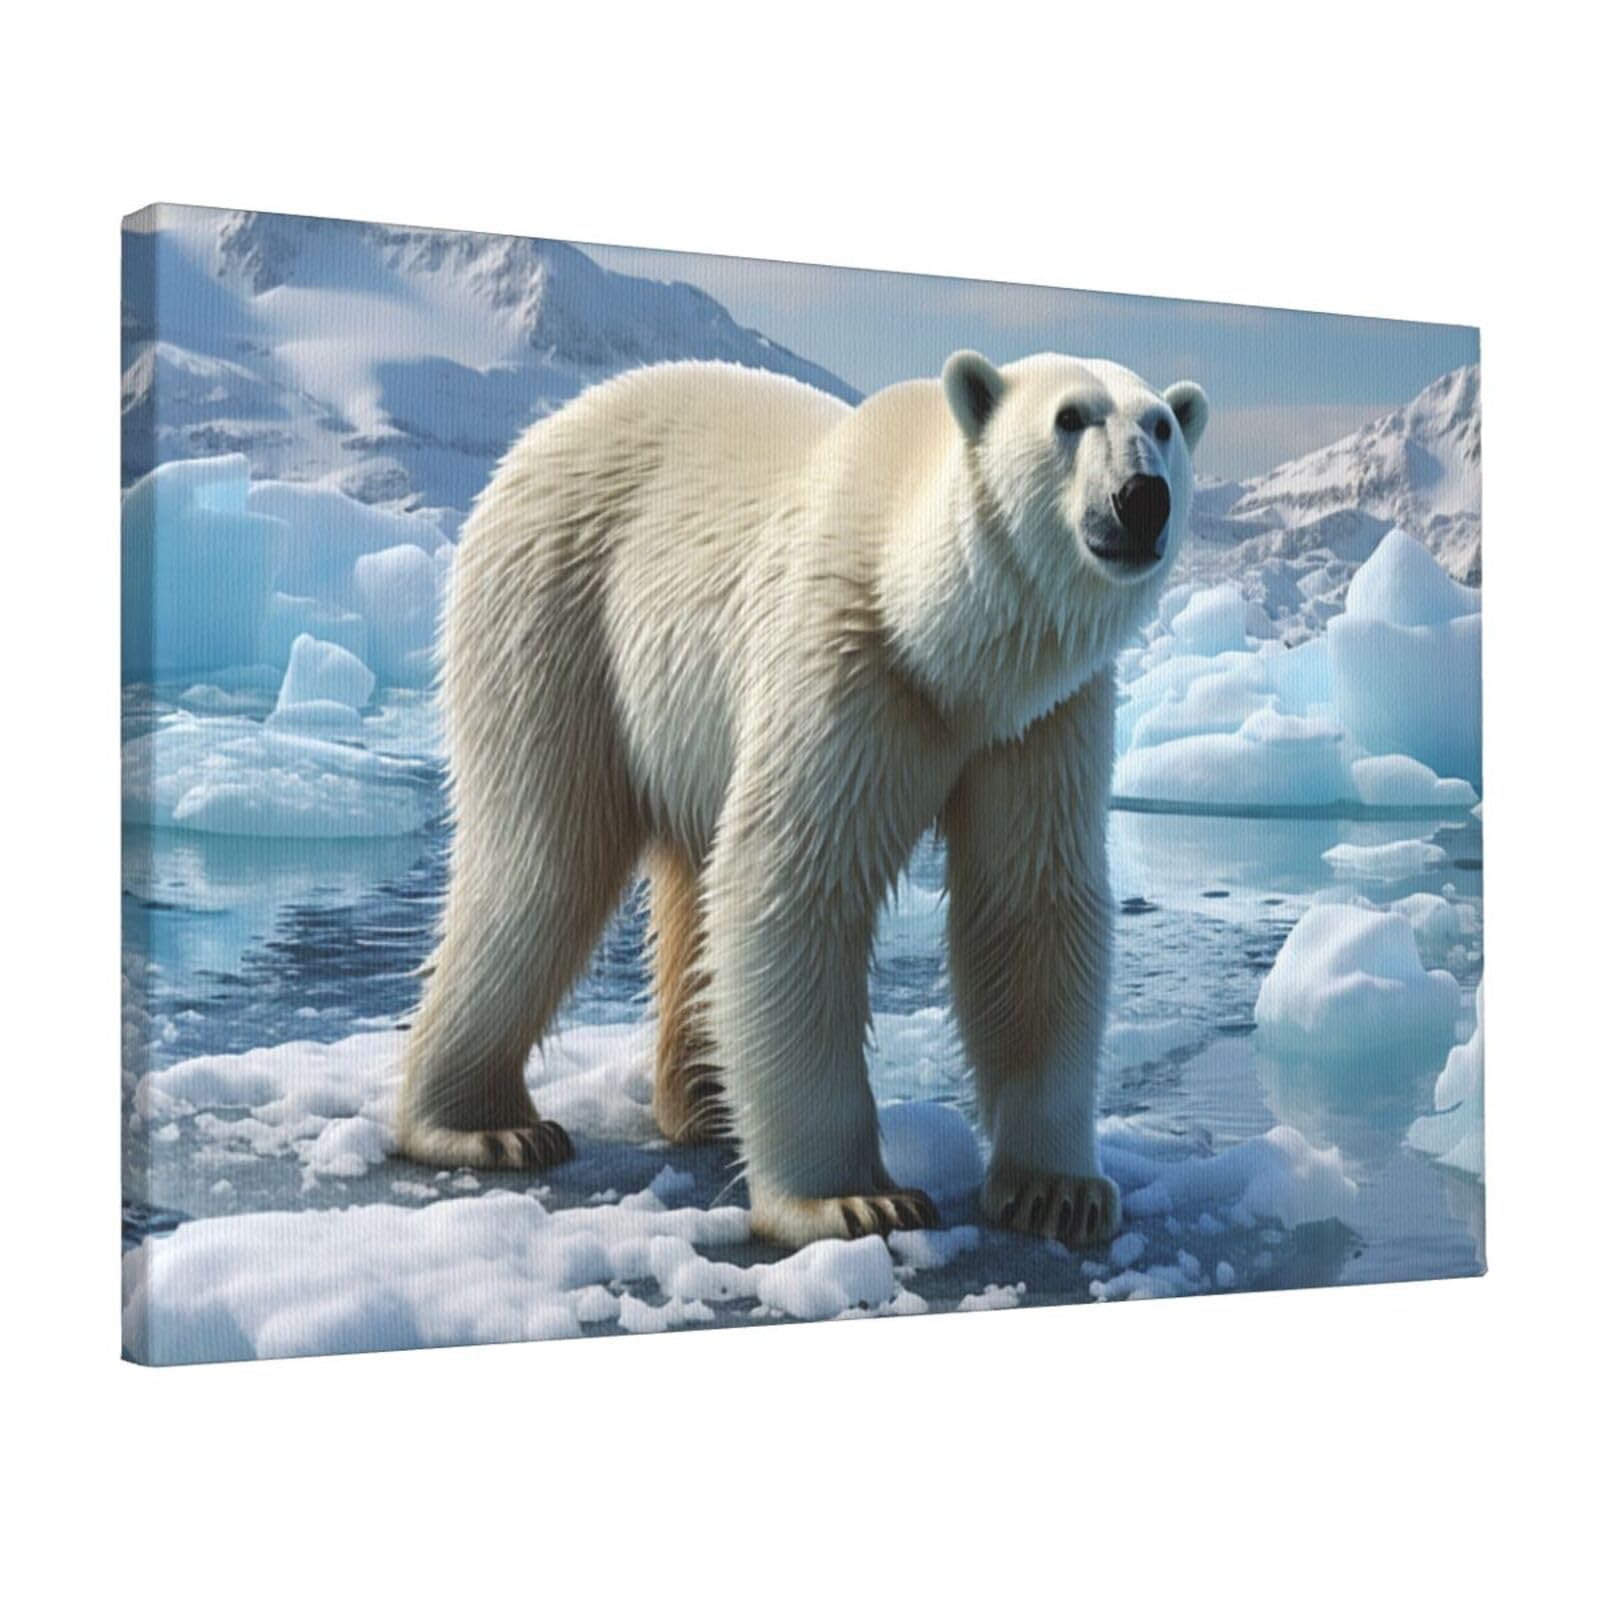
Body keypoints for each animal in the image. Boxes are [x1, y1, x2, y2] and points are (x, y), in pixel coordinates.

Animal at [395, 349, 1207, 1248]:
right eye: (1070, 418)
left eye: (1161, 426)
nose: (1142, 498)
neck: (944, 647)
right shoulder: (844, 657)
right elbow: (793, 882)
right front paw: (852, 1201)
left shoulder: (1040, 722)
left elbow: (1029, 902)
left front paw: (1058, 1191)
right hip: (554, 610)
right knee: (540, 866)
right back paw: (484, 1125)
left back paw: (704, 1106)